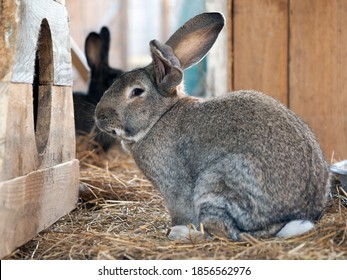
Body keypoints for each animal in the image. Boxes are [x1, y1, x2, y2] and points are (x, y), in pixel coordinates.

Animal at [94, 13, 332, 241]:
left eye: (136, 92)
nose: (99, 116)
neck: (160, 117)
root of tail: (293, 217)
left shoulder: (173, 188)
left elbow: (179, 211)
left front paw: (174, 228)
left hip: (215, 186)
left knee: (226, 233)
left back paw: (184, 234)